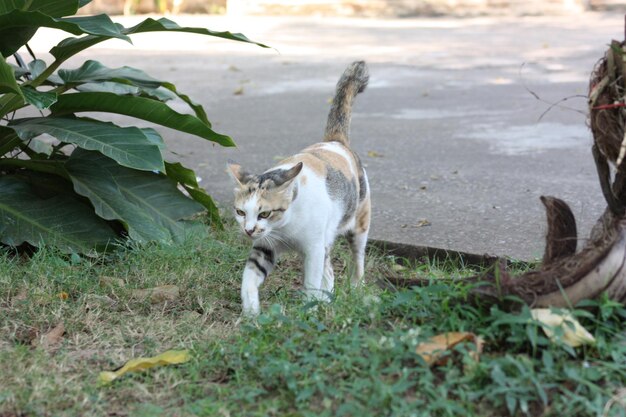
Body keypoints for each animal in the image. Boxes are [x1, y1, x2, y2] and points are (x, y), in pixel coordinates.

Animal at [227, 61, 368, 316]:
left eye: (265, 213)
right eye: (241, 212)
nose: (248, 230)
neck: (285, 228)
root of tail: (335, 141)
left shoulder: (314, 248)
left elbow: (312, 282)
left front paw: (308, 312)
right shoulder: (264, 247)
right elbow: (248, 279)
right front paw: (251, 311)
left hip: (359, 223)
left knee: (357, 258)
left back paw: (356, 288)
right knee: (329, 271)